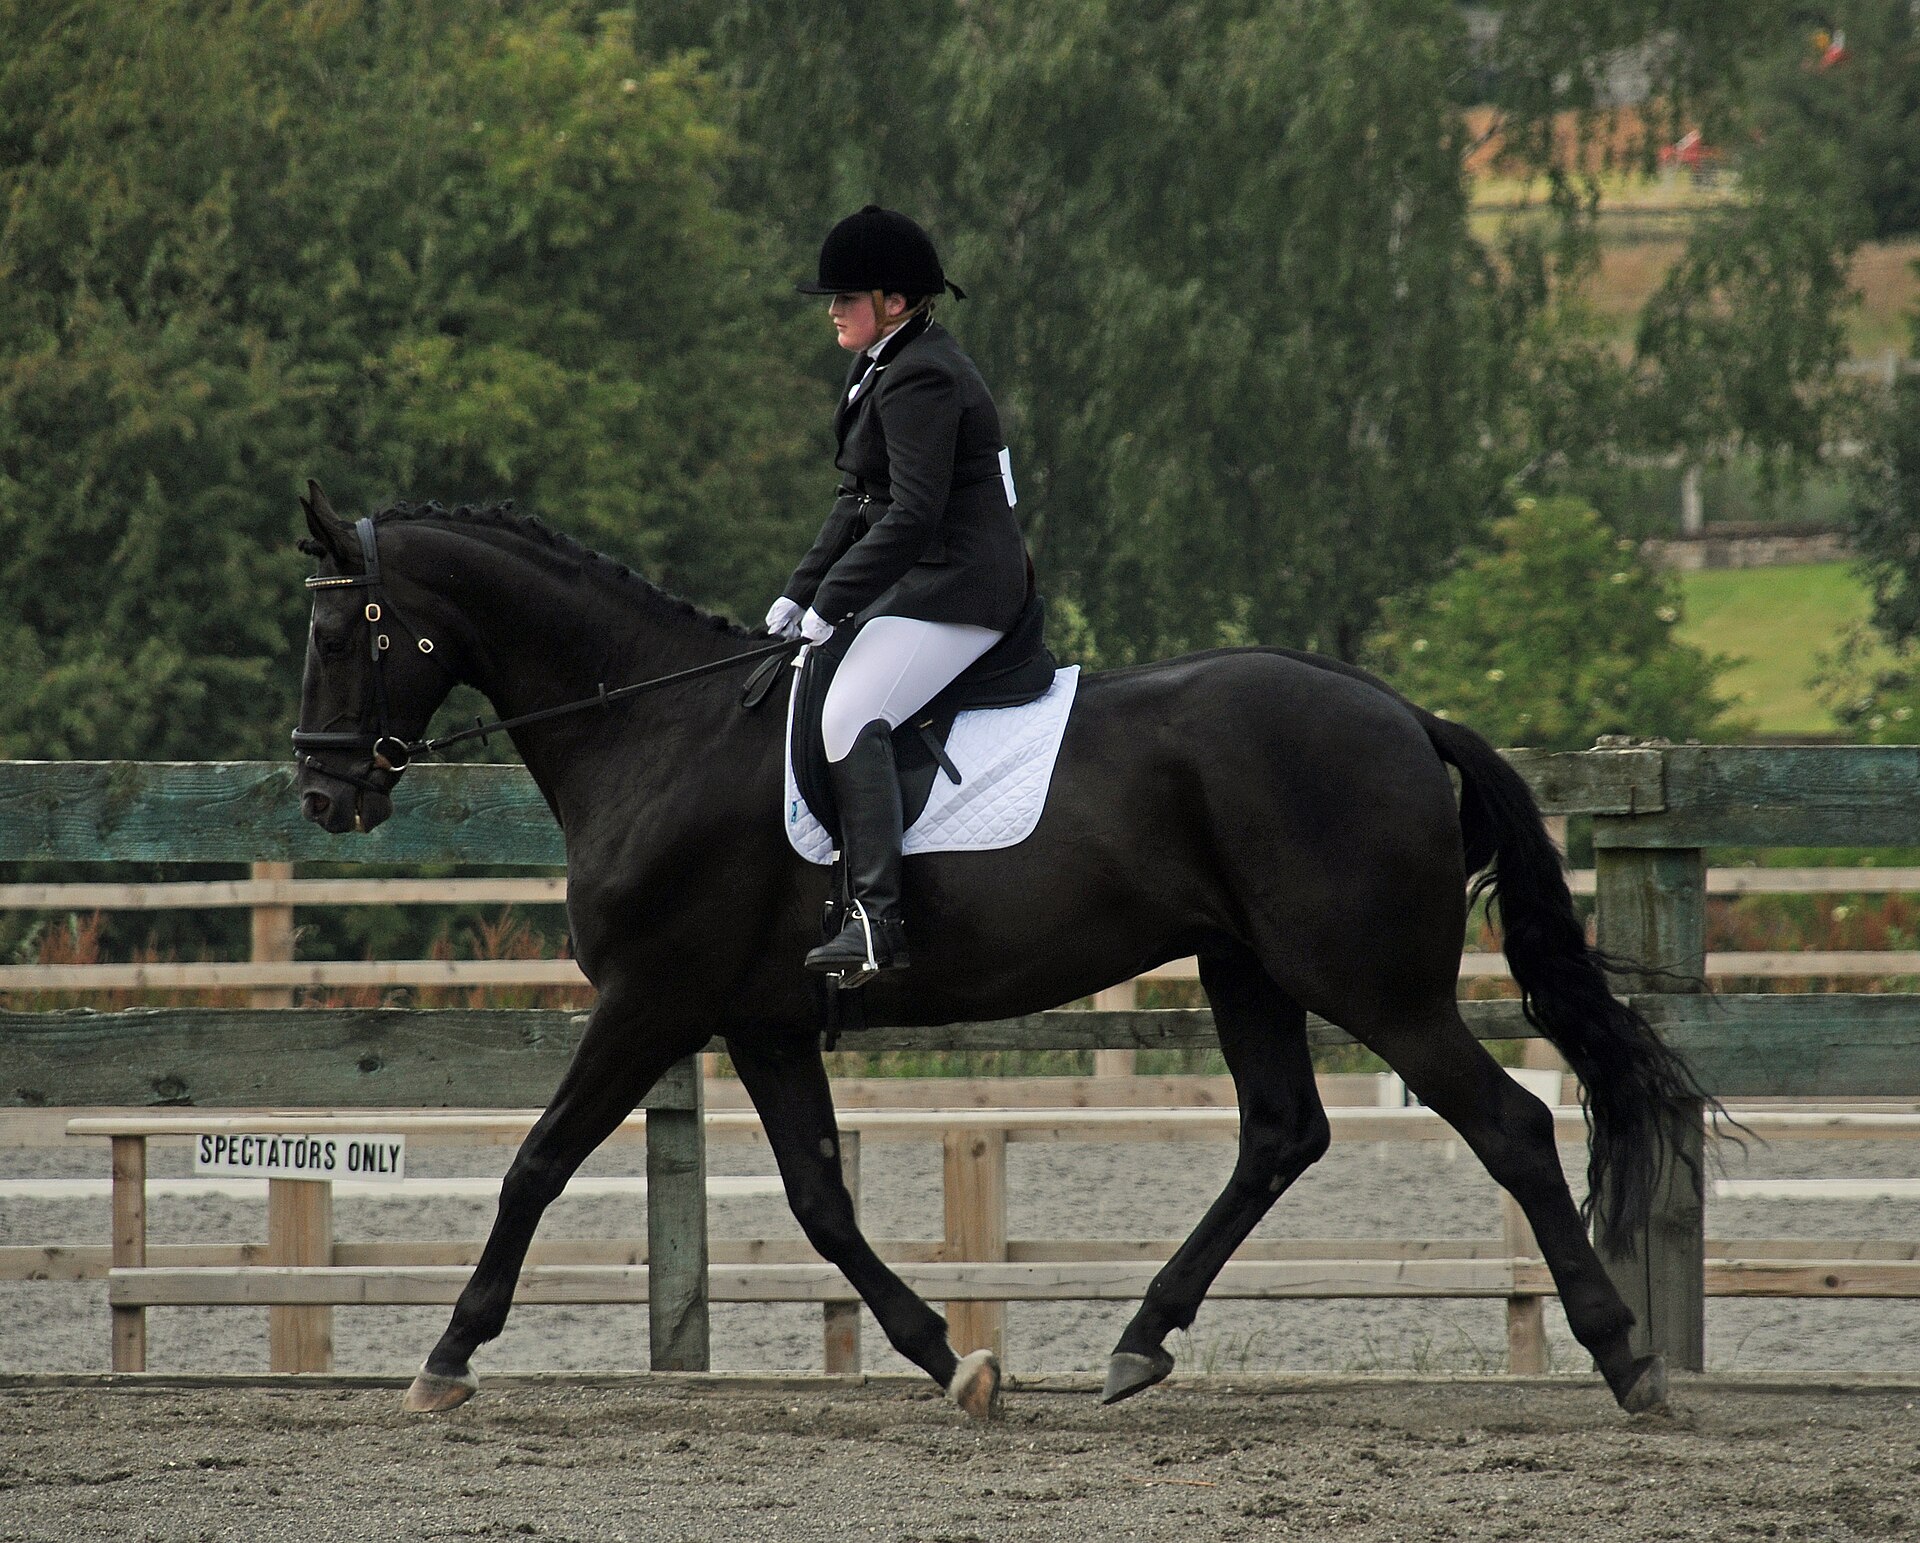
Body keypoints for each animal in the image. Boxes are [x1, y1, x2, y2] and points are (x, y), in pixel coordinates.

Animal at [290, 484, 1705, 1421]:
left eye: (341, 633)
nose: (321, 793)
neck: (659, 730)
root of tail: (1405, 711)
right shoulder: (761, 1018)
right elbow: (819, 1198)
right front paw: (953, 1357)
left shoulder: (654, 1001)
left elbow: (535, 1161)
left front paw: (447, 1357)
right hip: (1244, 967)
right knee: (1280, 1135)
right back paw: (1138, 1342)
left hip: (1371, 983)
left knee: (1509, 1125)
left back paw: (1627, 1360)